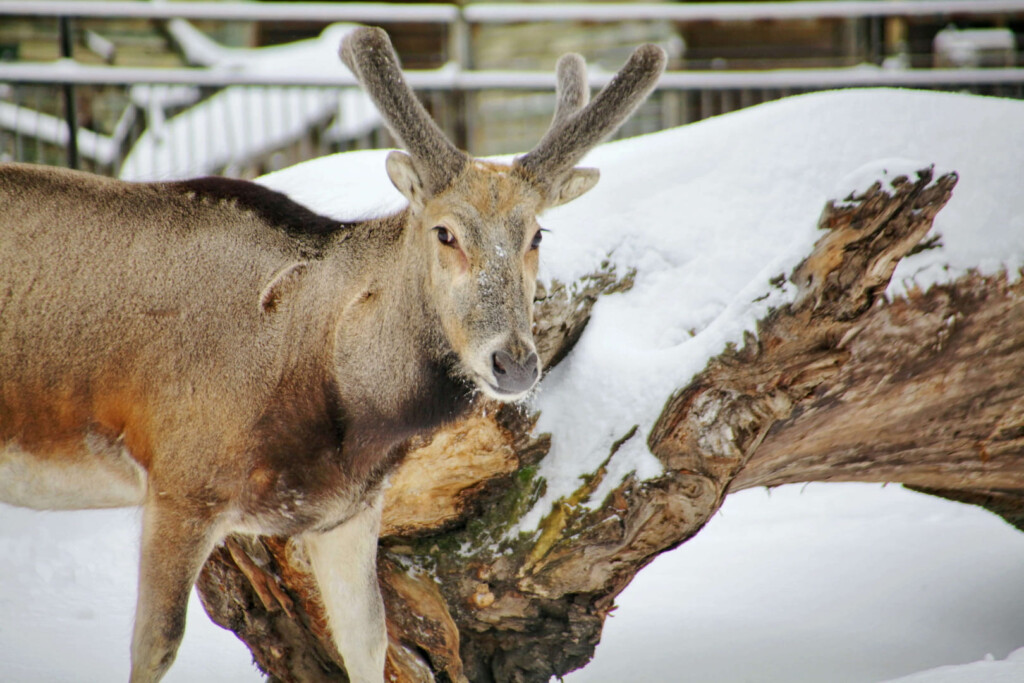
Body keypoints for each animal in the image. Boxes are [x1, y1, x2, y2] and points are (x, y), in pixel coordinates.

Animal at [0, 27, 665, 682]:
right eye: (445, 232)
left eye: (536, 235)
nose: (516, 362)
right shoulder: (180, 480)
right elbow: (154, 646)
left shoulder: (347, 511)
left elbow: (368, 642)